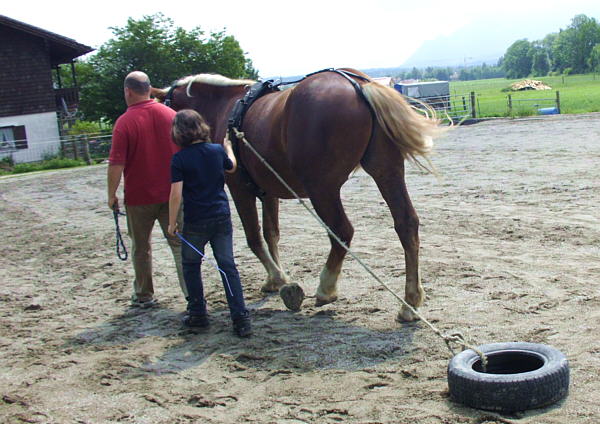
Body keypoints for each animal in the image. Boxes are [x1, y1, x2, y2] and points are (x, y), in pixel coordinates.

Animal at [152, 68, 442, 322]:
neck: (225, 108)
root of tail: (356, 84)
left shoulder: (239, 189)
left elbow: (254, 238)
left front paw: (279, 278)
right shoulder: (268, 192)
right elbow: (271, 234)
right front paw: (275, 279)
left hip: (322, 188)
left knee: (342, 231)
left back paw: (326, 288)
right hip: (386, 172)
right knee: (406, 224)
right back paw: (410, 304)